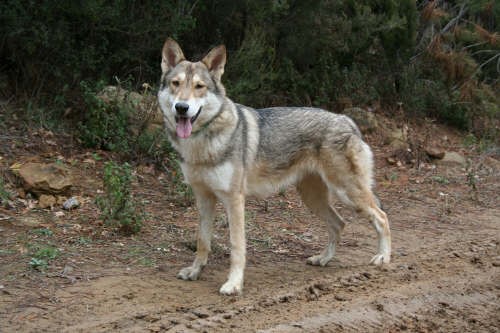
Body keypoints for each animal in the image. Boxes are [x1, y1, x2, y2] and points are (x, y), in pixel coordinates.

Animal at [158, 37, 392, 294]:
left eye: (199, 86)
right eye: (176, 84)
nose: (181, 107)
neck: (202, 143)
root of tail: (347, 120)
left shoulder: (234, 200)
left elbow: (236, 246)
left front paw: (233, 284)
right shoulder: (203, 198)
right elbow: (203, 241)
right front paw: (195, 271)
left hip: (347, 193)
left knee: (382, 217)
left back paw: (383, 257)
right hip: (314, 199)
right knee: (339, 224)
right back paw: (323, 259)